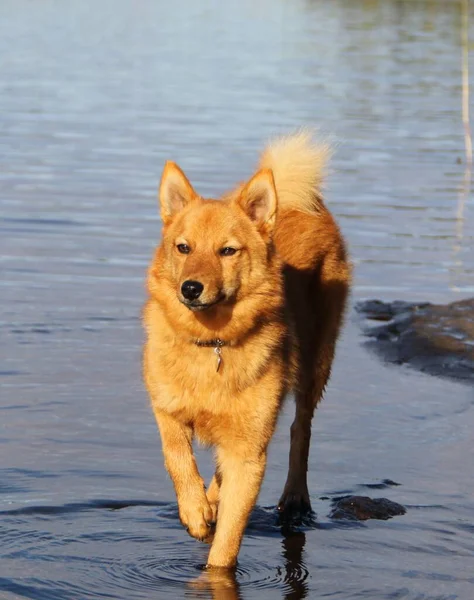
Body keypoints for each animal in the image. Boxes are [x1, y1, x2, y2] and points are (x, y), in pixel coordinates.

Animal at [143, 130, 350, 568]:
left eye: (227, 251)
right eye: (183, 248)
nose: (191, 288)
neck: (213, 344)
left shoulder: (249, 448)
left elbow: (228, 540)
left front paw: (216, 567)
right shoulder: (167, 409)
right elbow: (176, 456)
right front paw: (195, 510)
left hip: (315, 367)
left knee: (301, 429)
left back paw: (294, 497)